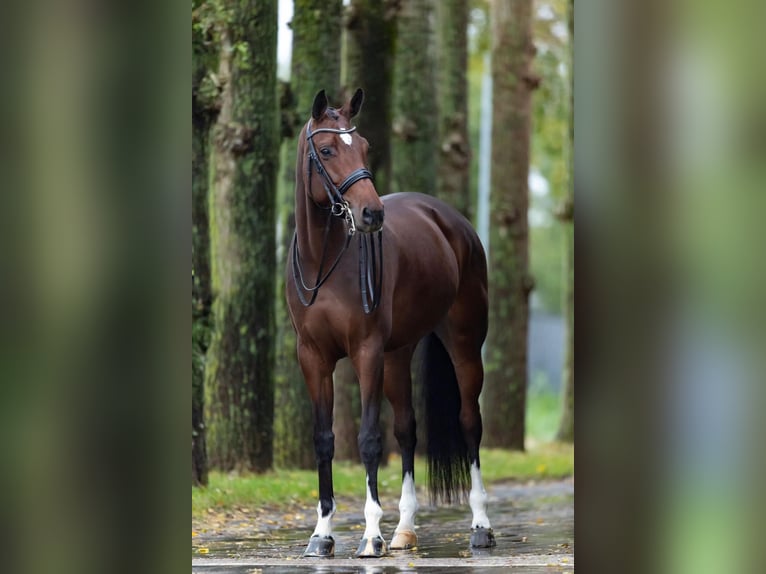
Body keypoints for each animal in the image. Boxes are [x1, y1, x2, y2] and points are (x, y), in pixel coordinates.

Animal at [288, 89, 498, 560]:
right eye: (326, 151)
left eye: (365, 147)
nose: (372, 213)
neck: (324, 262)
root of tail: (449, 220)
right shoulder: (313, 357)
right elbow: (324, 439)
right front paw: (322, 534)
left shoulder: (366, 352)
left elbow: (368, 439)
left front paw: (370, 536)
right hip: (397, 356)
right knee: (407, 430)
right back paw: (405, 529)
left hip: (463, 342)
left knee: (469, 422)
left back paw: (480, 526)